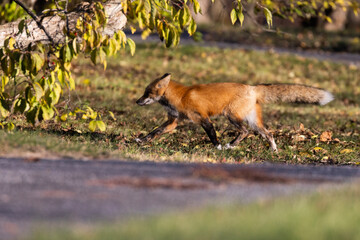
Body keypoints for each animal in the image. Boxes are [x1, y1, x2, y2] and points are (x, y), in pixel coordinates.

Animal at [136, 73, 334, 152]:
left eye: (147, 93)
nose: (137, 102)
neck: (181, 96)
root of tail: (252, 87)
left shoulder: (203, 118)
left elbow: (212, 135)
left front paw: (218, 147)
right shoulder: (173, 121)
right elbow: (155, 132)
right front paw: (142, 140)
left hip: (231, 115)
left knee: (245, 131)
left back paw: (230, 145)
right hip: (253, 121)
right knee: (268, 133)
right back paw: (274, 151)